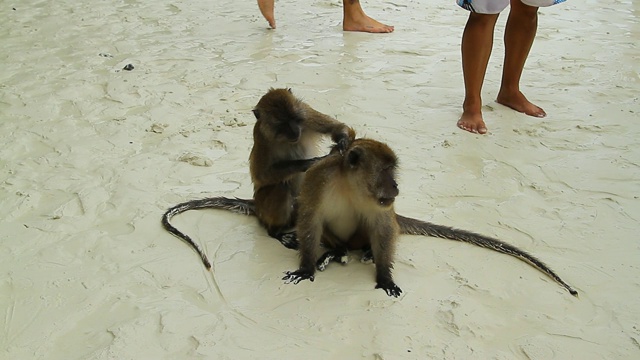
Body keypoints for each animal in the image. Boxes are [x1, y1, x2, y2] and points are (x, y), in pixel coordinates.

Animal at [161, 88, 356, 270]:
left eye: (294, 119)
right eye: (282, 124)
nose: (294, 130)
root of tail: (257, 204)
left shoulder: (306, 113)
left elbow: (338, 127)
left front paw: (342, 141)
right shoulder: (261, 136)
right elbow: (262, 175)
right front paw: (310, 163)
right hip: (265, 206)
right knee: (280, 189)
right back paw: (275, 232)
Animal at [282, 138, 576, 298]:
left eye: (393, 170)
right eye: (385, 171)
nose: (395, 186)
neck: (349, 186)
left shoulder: (382, 204)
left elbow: (383, 228)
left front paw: (384, 277)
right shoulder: (318, 180)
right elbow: (309, 218)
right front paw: (306, 268)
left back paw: (364, 250)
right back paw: (338, 250)